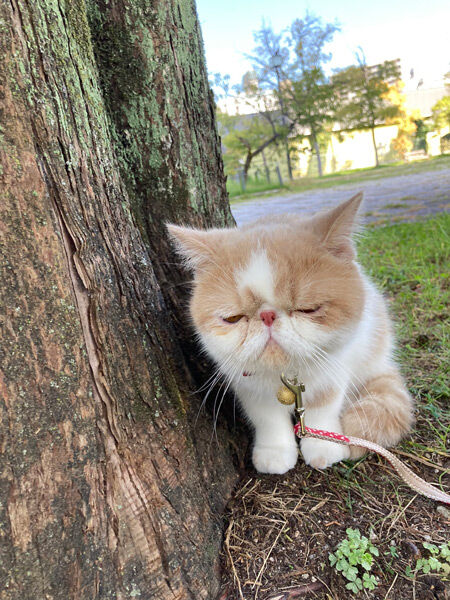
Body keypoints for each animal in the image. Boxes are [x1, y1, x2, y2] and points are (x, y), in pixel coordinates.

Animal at [167, 195, 414, 476]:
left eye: (308, 309)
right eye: (233, 318)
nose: (267, 316)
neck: (283, 375)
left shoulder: (336, 366)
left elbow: (323, 406)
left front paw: (323, 445)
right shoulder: (246, 384)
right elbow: (267, 418)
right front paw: (274, 452)